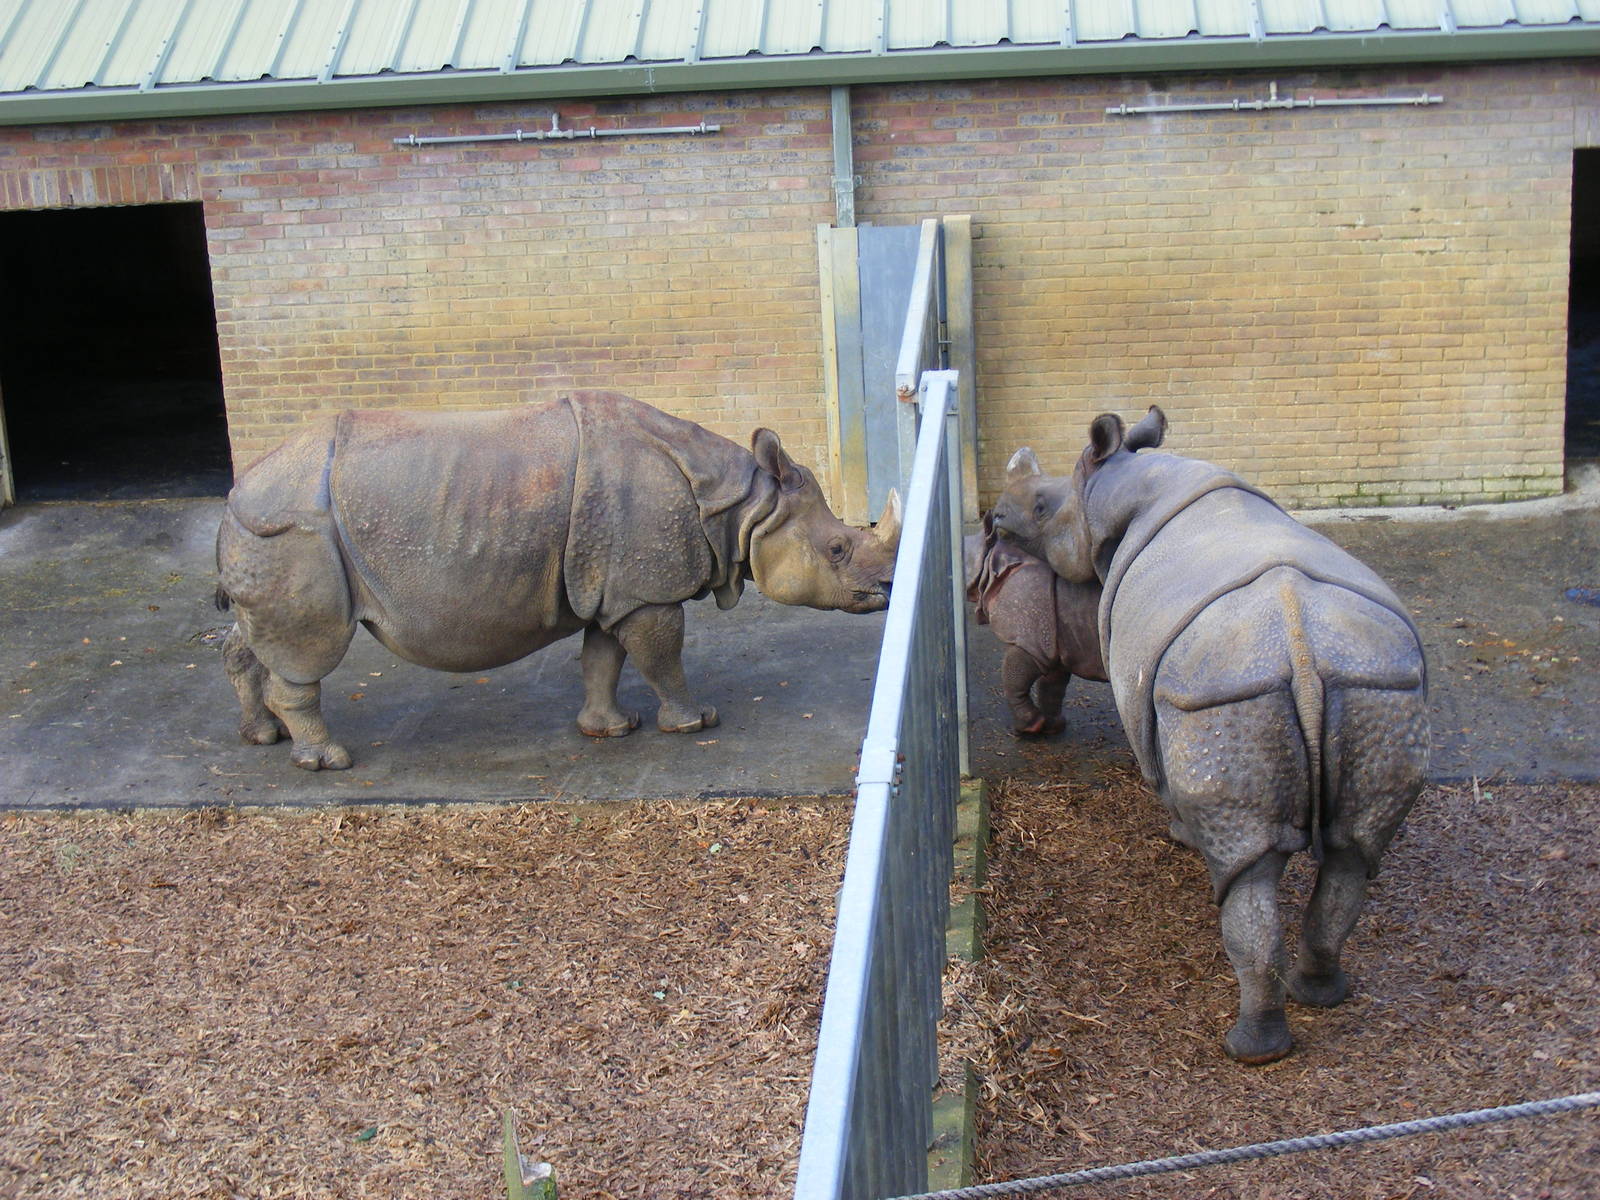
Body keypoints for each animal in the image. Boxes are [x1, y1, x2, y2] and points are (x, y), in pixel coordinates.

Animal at [215, 391, 900, 771]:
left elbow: (603, 657)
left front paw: (609, 730)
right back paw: (326, 762)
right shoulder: (645, 590)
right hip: (297, 530)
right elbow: (663, 656)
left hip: (267, 529)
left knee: (253, 638)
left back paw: (261, 737)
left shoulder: (614, 585)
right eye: (837, 548)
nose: (887, 591)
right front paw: (695, 723)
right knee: (310, 649)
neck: (742, 505)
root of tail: (236, 490)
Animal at [964, 516, 1106, 737]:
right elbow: (1052, 685)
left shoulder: (1032, 641)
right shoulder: (1056, 640)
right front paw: (1053, 727)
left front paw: (1028, 727)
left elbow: (1012, 678)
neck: (989, 559)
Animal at [991, 406, 1429, 1064]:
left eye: (1042, 506)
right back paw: (1321, 994)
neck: (1120, 485)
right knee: (1353, 854)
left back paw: (1251, 1050)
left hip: (1221, 695)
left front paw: (1179, 834)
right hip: (1376, 688)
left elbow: (1161, 774)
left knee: (1249, 871)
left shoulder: (1150, 698)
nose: (993, 516)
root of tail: (1302, 651)